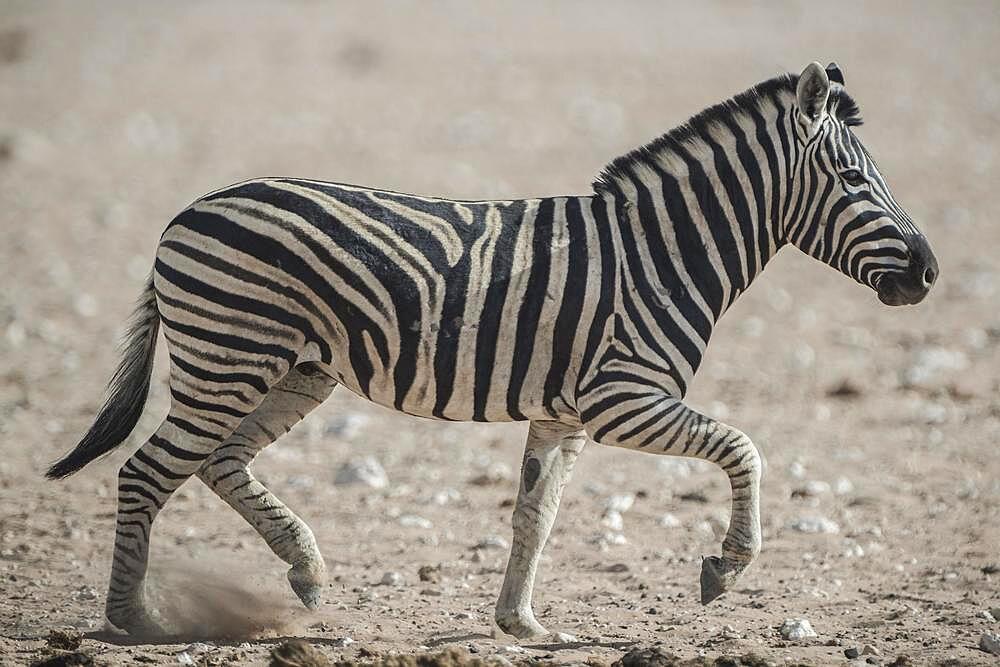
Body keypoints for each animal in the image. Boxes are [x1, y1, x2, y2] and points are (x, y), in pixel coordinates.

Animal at [47, 64, 936, 640]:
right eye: (856, 183)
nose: (928, 273)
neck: (663, 251)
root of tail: (183, 212)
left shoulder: (565, 413)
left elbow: (533, 515)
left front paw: (523, 622)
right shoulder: (622, 399)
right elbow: (744, 446)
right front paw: (726, 565)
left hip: (293, 369)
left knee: (216, 461)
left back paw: (304, 569)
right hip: (228, 358)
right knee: (148, 470)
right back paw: (133, 619)